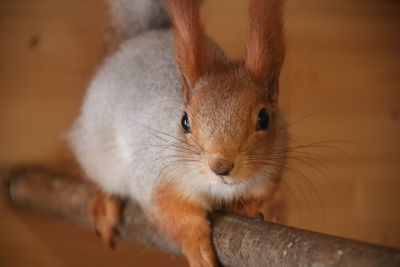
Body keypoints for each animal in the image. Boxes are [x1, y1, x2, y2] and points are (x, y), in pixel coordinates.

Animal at [69, 0, 288, 266]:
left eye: (263, 118)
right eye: (184, 121)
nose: (221, 166)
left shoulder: (269, 174)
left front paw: (243, 207)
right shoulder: (157, 179)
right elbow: (172, 215)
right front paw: (196, 246)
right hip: (98, 148)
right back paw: (105, 202)